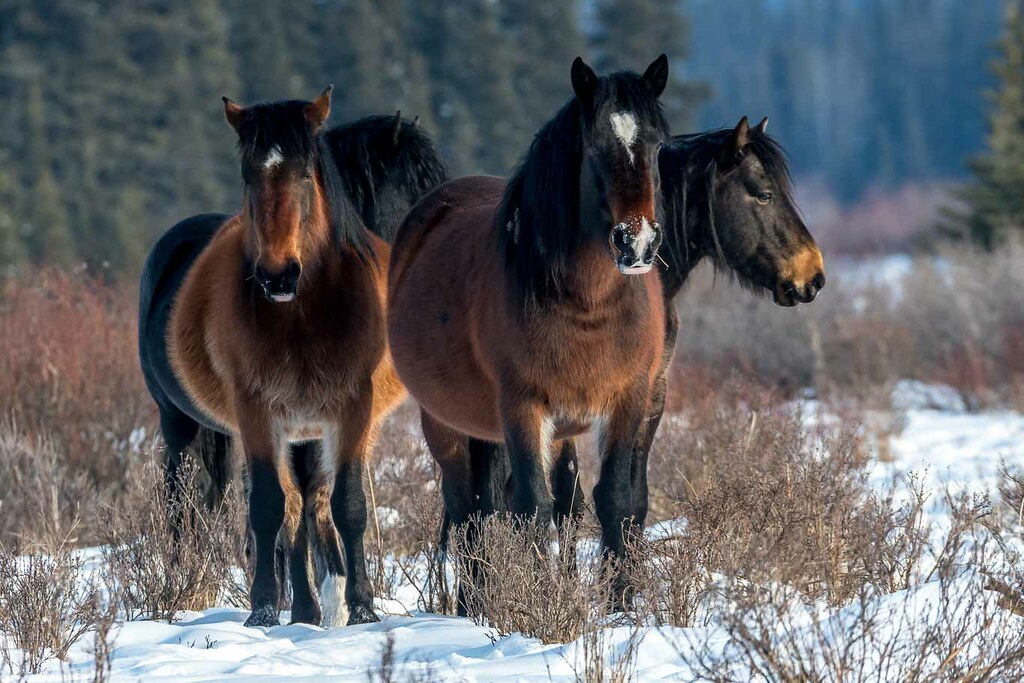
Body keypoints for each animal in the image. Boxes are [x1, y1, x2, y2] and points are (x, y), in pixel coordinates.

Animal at [138, 91, 444, 628]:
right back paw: (180, 588)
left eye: (304, 175)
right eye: (247, 175)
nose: (277, 275)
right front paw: (265, 609)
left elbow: (336, 504)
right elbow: (271, 507)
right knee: (181, 507)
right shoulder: (260, 414)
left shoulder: (342, 413)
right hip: (176, 422)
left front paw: (349, 605)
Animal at [388, 55, 673, 606]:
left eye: (656, 145)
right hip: (447, 425)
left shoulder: (627, 401)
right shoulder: (523, 407)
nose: (637, 243)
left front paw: (622, 604)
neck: (587, 307)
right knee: (469, 512)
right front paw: (542, 607)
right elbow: (533, 510)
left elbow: (614, 499)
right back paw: (471, 605)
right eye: (594, 147)